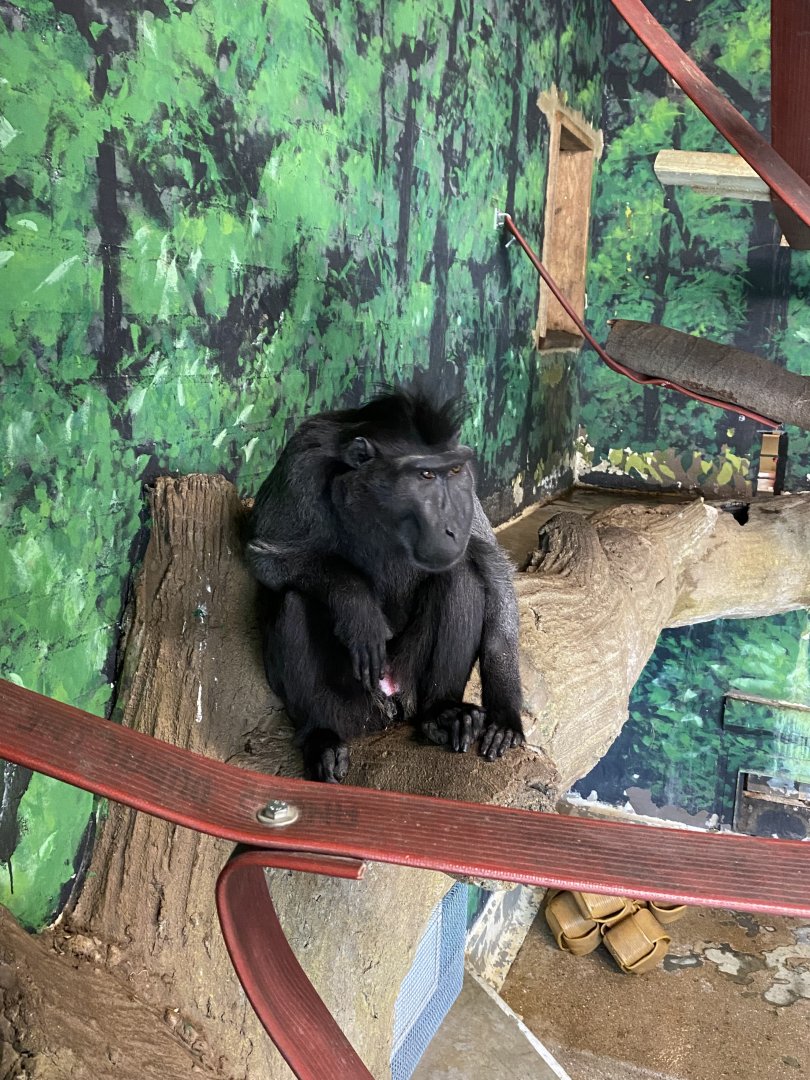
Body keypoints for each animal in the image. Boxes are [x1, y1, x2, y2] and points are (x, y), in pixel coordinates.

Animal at [245, 388, 525, 783]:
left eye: (454, 471)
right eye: (425, 474)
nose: (453, 525)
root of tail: (391, 700)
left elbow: (493, 570)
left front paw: (505, 715)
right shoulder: (302, 460)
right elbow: (264, 555)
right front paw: (356, 604)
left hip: (409, 680)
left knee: (461, 576)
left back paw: (442, 713)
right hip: (355, 706)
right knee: (295, 598)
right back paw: (321, 735)